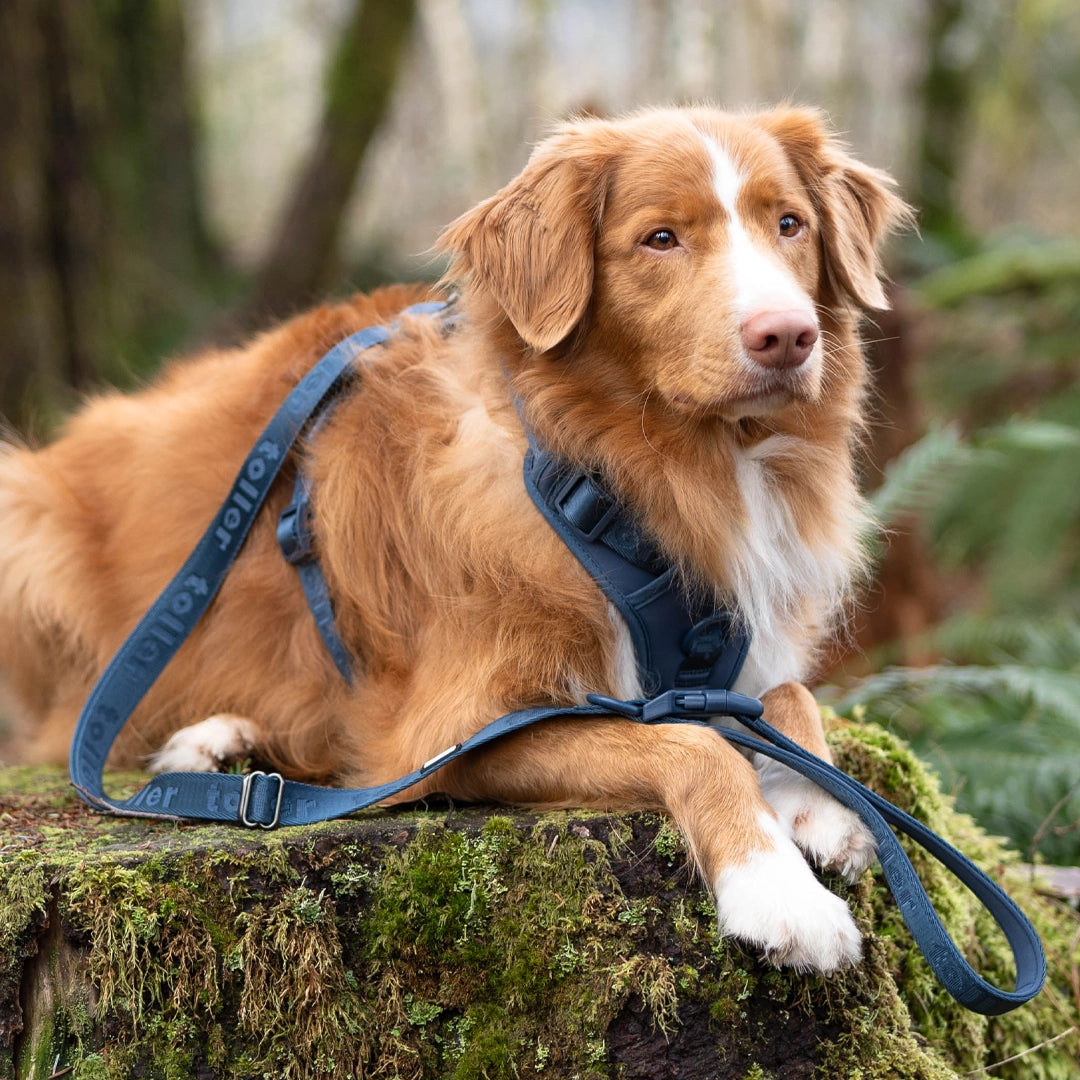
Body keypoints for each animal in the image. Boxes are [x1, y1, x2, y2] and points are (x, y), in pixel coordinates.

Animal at [0, 105, 911, 976]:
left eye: (789, 224)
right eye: (660, 238)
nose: (787, 335)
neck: (637, 472)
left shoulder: (722, 665)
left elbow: (787, 697)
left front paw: (821, 802)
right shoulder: (464, 732)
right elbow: (694, 746)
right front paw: (777, 893)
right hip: (26, 521)